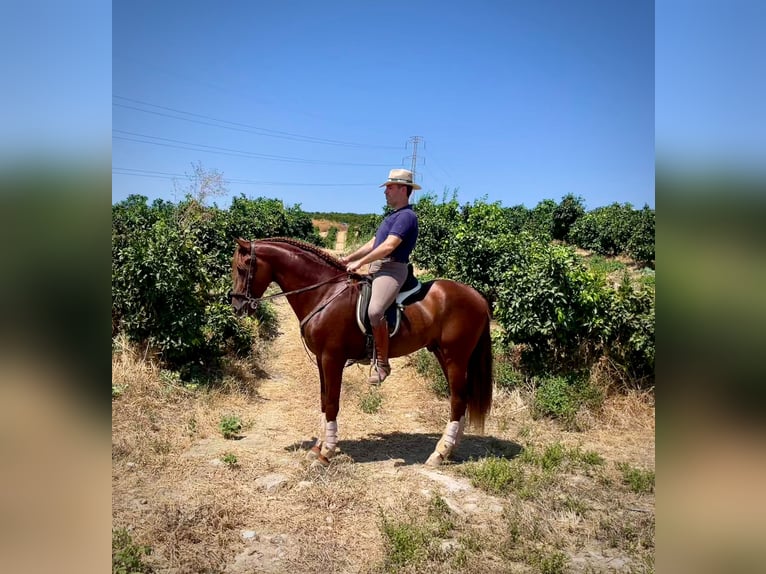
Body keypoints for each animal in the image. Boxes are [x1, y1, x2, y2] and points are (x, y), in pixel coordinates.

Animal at [230, 238, 492, 468]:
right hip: (442, 353)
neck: (325, 292)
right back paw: (450, 449)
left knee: (457, 400)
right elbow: (324, 401)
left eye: (242, 269)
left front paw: (326, 453)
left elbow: (332, 403)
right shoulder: (321, 359)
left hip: (455, 356)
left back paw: (439, 453)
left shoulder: (332, 358)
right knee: (462, 399)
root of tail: (477, 296)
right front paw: (317, 447)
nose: (237, 307)